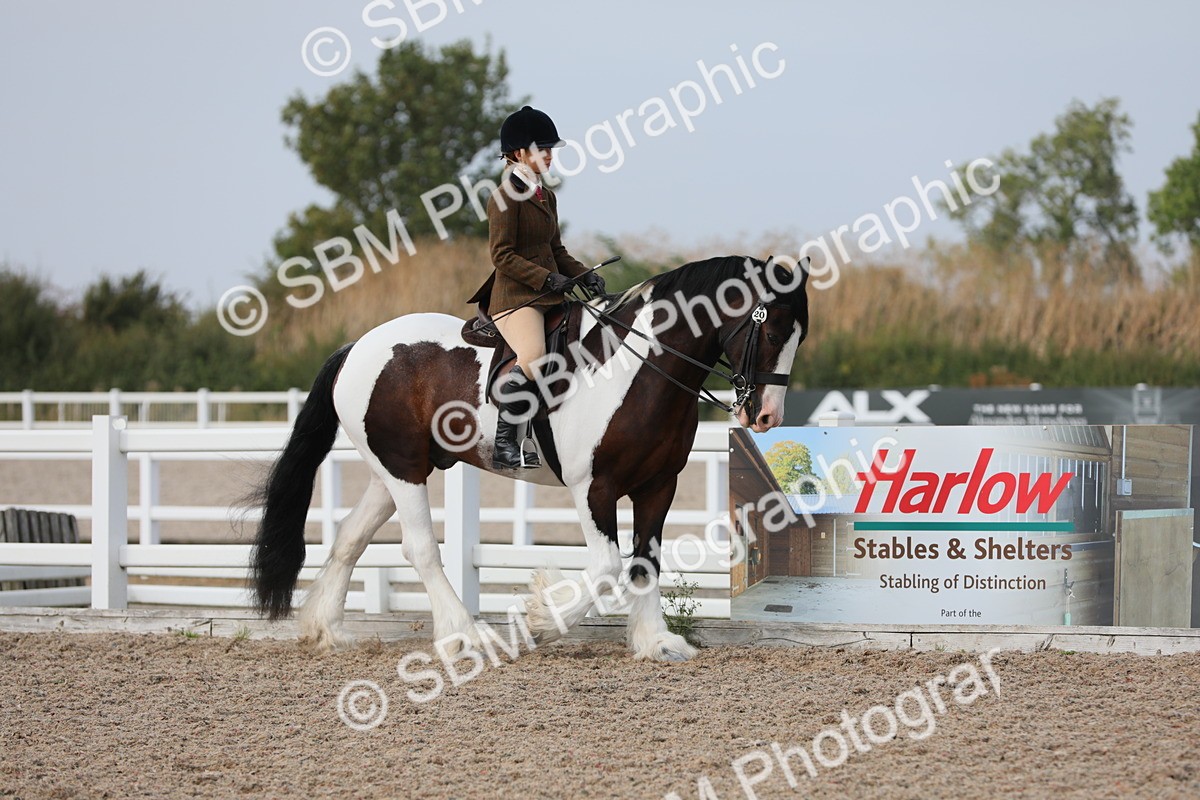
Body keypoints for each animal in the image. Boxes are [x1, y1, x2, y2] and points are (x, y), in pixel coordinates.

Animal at [249, 254, 809, 662]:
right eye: (771, 330)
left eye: (798, 335)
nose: (766, 417)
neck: (637, 368)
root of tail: (357, 347)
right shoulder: (594, 487)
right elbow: (607, 565)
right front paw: (542, 618)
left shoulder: (658, 484)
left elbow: (644, 561)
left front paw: (656, 643)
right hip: (403, 471)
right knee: (420, 548)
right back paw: (465, 636)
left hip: (393, 470)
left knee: (350, 537)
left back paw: (326, 629)